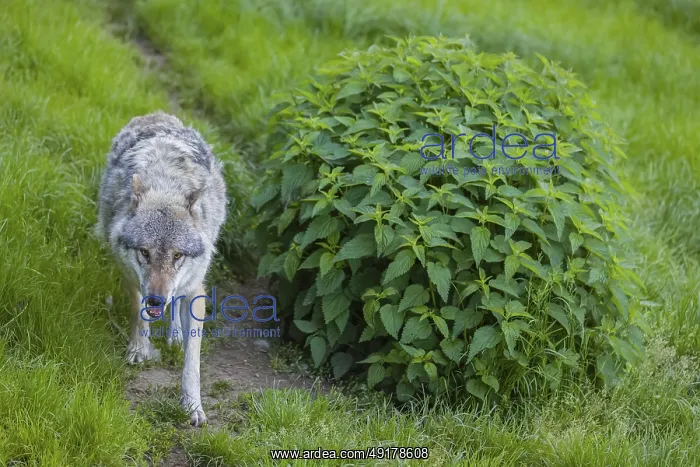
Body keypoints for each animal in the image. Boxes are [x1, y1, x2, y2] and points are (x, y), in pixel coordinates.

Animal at [96, 111, 227, 426]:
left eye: (178, 255)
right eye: (145, 252)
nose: (156, 299)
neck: (167, 186)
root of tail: (157, 114)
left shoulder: (195, 289)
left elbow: (192, 362)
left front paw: (193, 406)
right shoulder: (131, 276)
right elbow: (137, 314)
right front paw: (138, 349)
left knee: (177, 302)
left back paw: (174, 336)